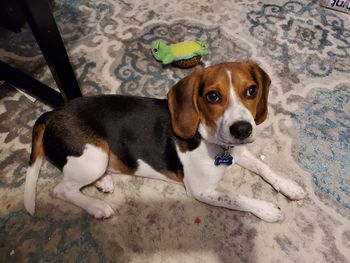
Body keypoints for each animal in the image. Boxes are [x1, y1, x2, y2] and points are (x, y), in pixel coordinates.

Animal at [24, 62, 304, 223]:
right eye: (212, 96)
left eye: (252, 91)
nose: (243, 130)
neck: (209, 139)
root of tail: (53, 113)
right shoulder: (201, 191)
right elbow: (236, 198)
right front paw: (267, 209)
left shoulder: (237, 150)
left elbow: (263, 167)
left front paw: (289, 186)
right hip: (95, 156)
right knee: (62, 189)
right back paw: (96, 206)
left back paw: (104, 182)